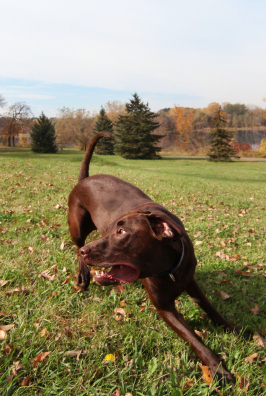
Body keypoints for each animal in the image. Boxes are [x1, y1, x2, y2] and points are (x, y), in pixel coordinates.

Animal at [68, 131, 247, 386]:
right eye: (114, 229)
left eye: (121, 232)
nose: (87, 251)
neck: (169, 269)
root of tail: (85, 179)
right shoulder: (164, 307)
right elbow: (194, 339)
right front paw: (218, 368)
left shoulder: (190, 280)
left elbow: (209, 306)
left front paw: (232, 328)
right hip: (77, 228)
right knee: (77, 245)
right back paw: (83, 275)